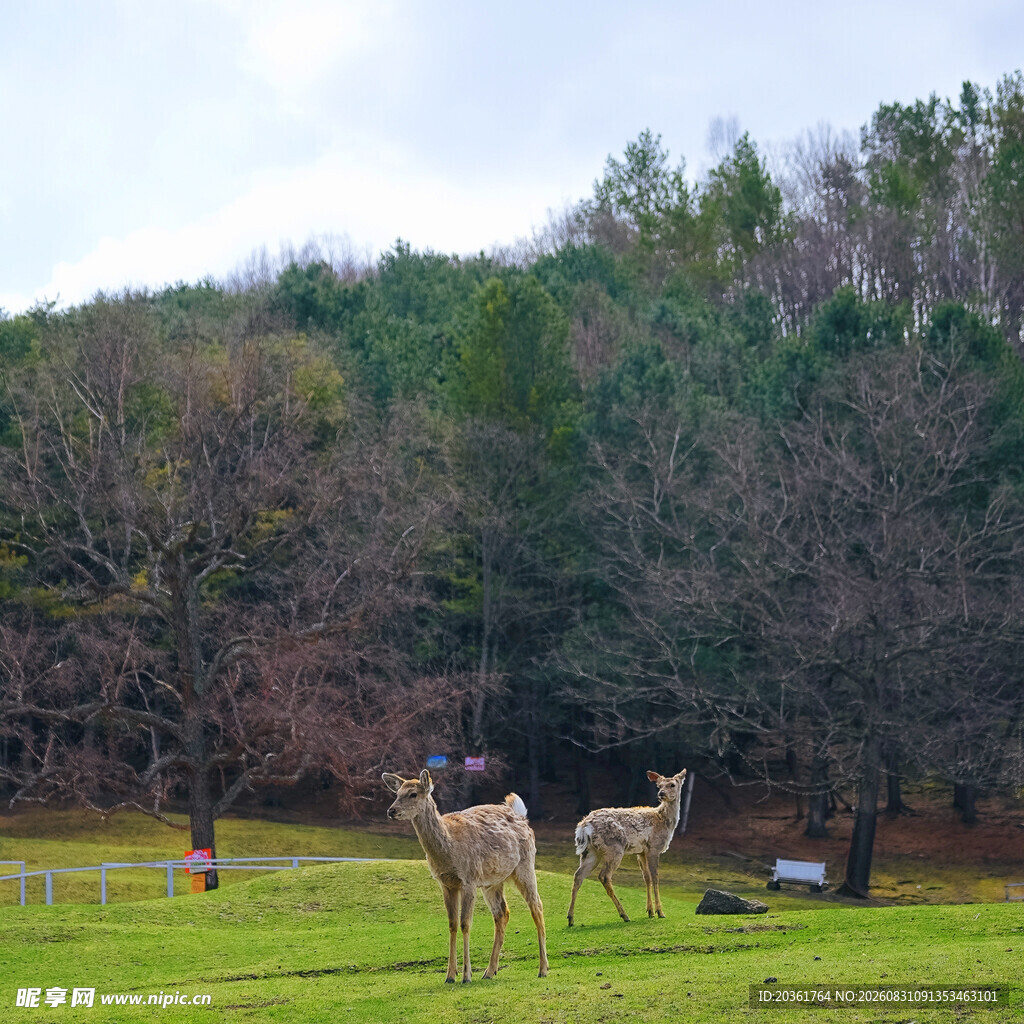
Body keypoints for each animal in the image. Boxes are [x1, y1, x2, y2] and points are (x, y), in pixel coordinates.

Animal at [382, 769, 549, 983]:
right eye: (397, 793)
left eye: (413, 794)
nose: (391, 811)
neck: (449, 849)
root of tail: (521, 816)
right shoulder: (446, 883)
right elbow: (452, 924)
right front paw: (450, 975)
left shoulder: (469, 879)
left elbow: (465, 924)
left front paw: (466, 975)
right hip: (492, 881)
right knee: (502, 912)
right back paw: (489, 971)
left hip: (525, 865)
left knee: (537, 906)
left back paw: (543, 969)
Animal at [567, 768, 687, 926]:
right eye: (659, 785)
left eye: (672, 784)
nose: (661, 794)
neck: (664, 821)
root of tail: (583, 826)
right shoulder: (654, 847)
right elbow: (655, 877)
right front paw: (660, 912)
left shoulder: (641, 852)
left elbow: (646, 878)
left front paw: (650, 911)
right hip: (614, 848)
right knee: (604, 876)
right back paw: (624, 915)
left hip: (591, 852)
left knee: (578, 875)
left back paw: (570, 919)